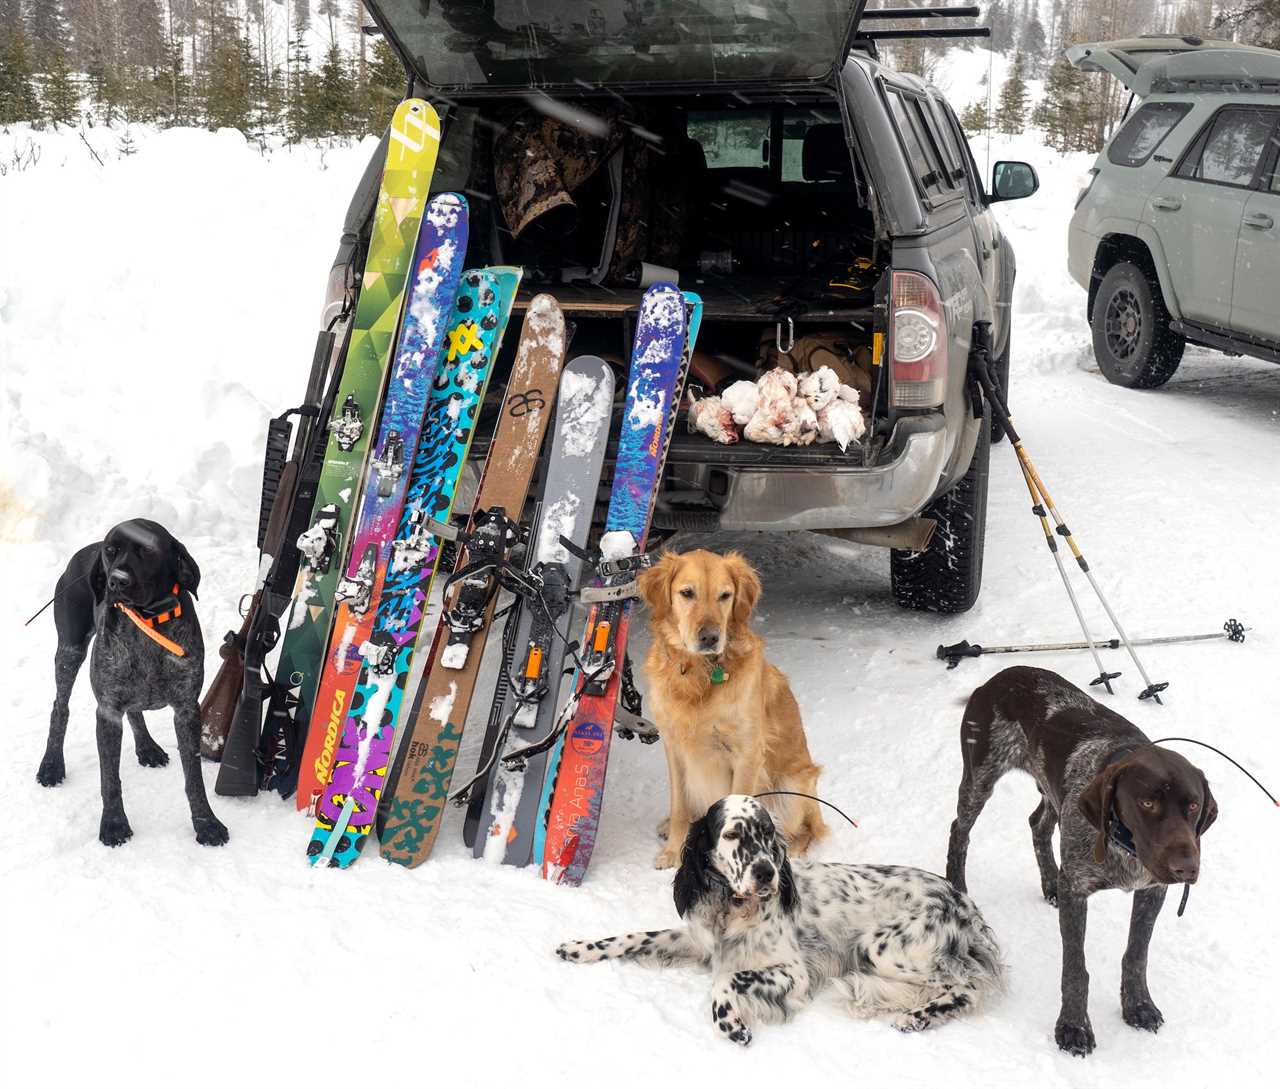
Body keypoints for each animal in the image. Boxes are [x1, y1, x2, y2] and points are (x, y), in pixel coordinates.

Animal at [36, 522, 227, 849]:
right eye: (110, 552)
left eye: (147, 551)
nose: (116, 581)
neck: (147, 622)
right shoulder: (108, 712)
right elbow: (110, 779)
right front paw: (114, 824)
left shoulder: (187, 710)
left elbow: (194, 780)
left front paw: (206, 823)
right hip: (70, 651)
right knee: (60, 707)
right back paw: (51, 764)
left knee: (134, 710)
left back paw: (147, 747)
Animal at [947, 665, 1213, 1054]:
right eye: (1147, 802)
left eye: (1193, 805)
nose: (1186, 868)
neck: (1124, 848)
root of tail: (996, 678)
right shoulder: (1077, 889)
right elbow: (1076, 968)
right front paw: (1073, 1026)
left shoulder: (1151, 890)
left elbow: (1136, 954)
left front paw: (1138, 1006)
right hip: (979, 778)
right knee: (959, 831)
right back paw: (957, 886)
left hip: (1050, 793)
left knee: (1037, 824)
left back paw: (1049, 883)